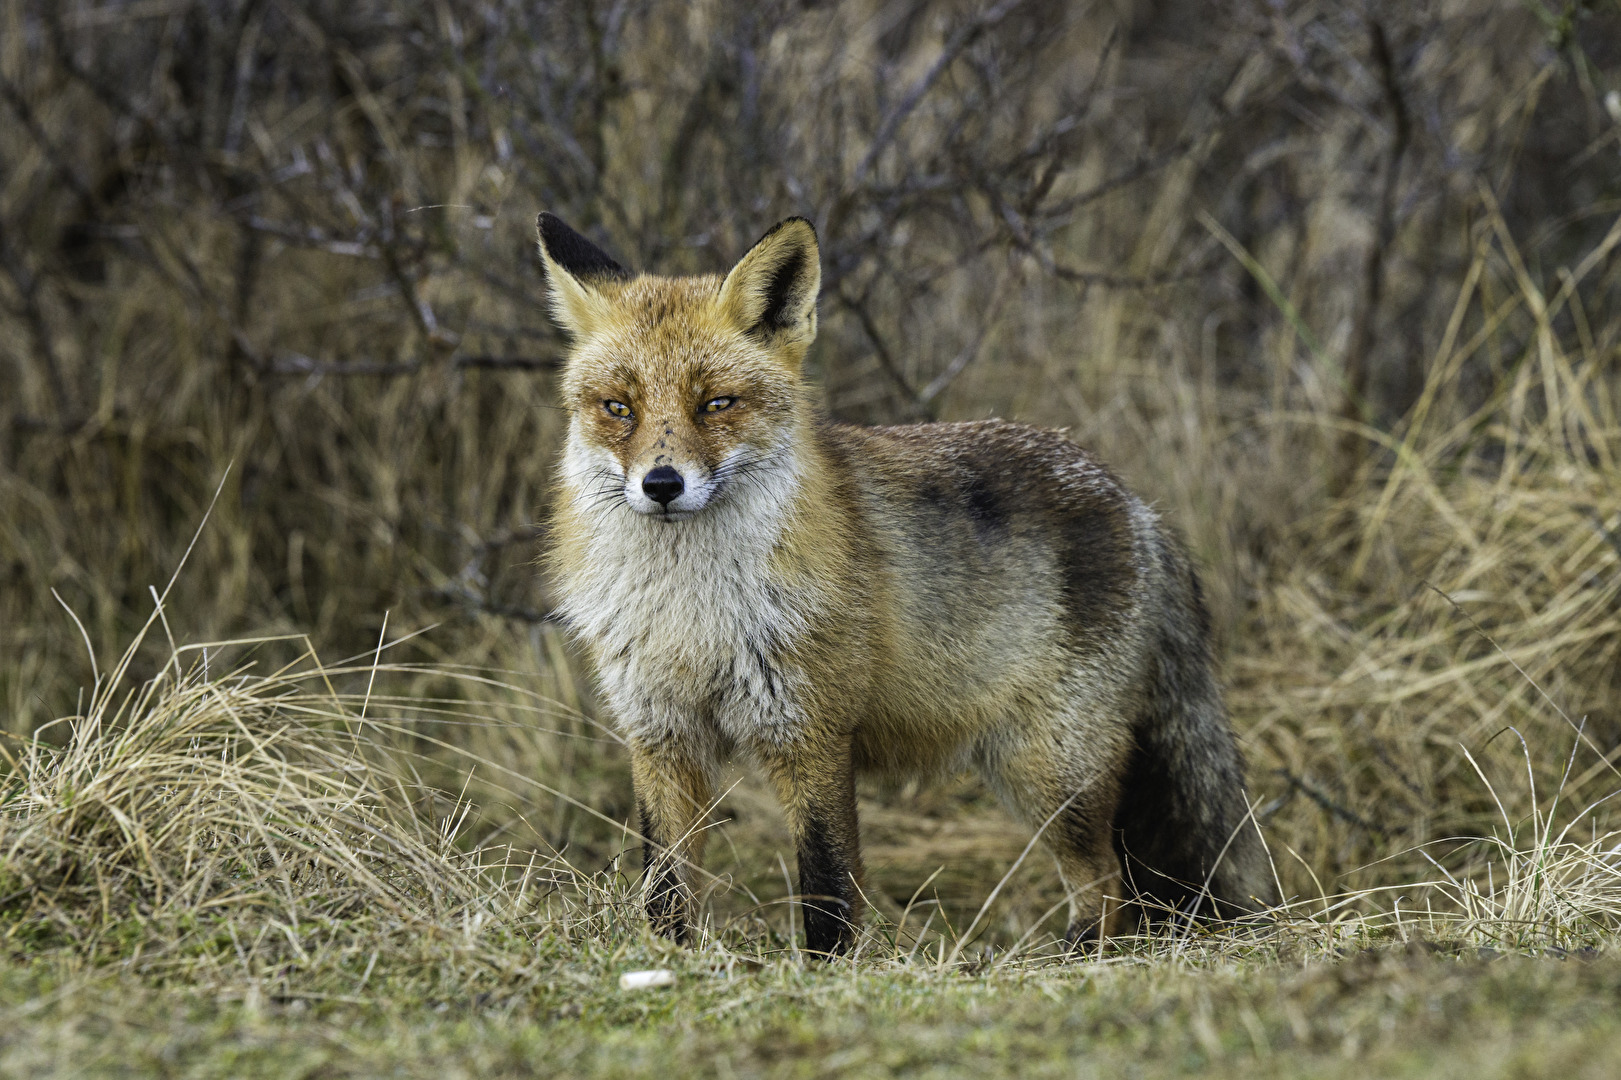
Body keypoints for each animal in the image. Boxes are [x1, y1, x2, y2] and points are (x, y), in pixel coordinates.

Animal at [537, 211, 1277, 956]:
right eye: (618, 407)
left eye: (717, 403)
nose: (661, 485)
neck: (692, 620)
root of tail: (1138, 506)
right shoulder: (660, 736)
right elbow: (664, 884)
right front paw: (665, 956)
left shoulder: (811, 732)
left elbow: (828, 886)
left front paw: (828, 970)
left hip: (1049, 769)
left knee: (1105, 878)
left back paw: (1071, 958)